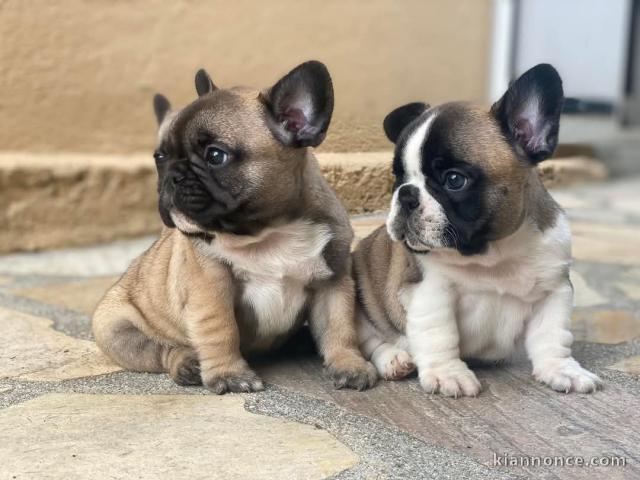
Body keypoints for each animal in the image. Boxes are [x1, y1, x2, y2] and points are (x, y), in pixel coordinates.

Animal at [92, 60, 378, 392]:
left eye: (216, 155)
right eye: (160, 157)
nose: (171, 176)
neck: (269, 230)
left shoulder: (332, 280)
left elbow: (339, 326)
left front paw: (349, 364)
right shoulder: (211, 284)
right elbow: (220, 328)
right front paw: (229, 375)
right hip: (118, 331)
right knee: (162, 351)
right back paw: (187, 364)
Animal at [352, 63, 604, 396]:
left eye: (454, 179)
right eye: (398, 176)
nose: (406, 194)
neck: (491, 254)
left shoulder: (554, 290)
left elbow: (552, 335)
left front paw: (561, 369)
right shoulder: (428, 291)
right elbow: (439, 334)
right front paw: (448, 374)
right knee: (370, 341)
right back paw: (394, 359)